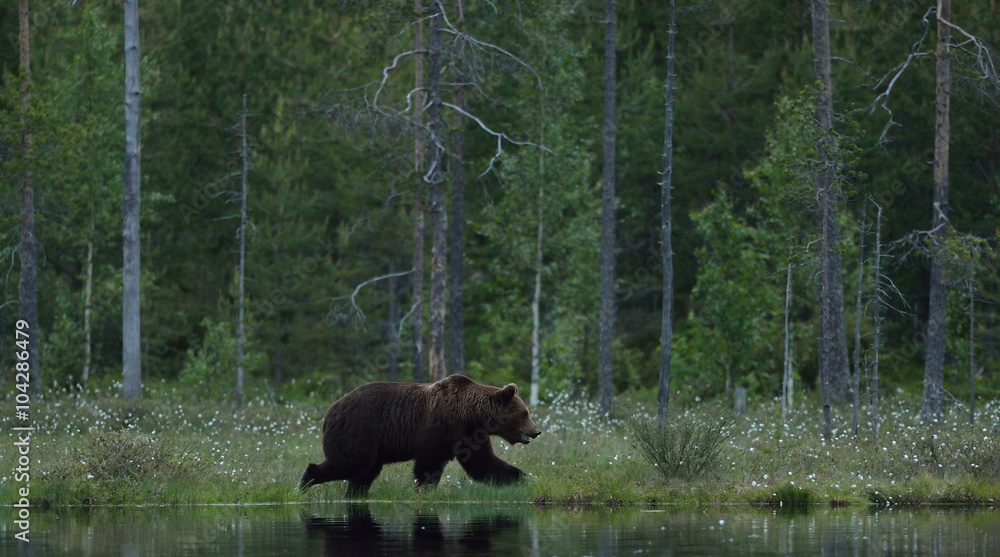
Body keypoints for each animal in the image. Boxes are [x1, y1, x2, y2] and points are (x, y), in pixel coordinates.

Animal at [299, 374, 541, 496]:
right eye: (525, 413)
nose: (536, 431)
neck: (470, 415)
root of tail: (331, 410)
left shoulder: (470, 435)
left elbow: (484, 463)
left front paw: (521, 477)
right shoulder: (439, 427)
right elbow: (429, 462)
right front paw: (425, 488)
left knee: (364, 471)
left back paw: (355, 493)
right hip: (358, 429)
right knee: (352, 462)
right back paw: (306, 480)